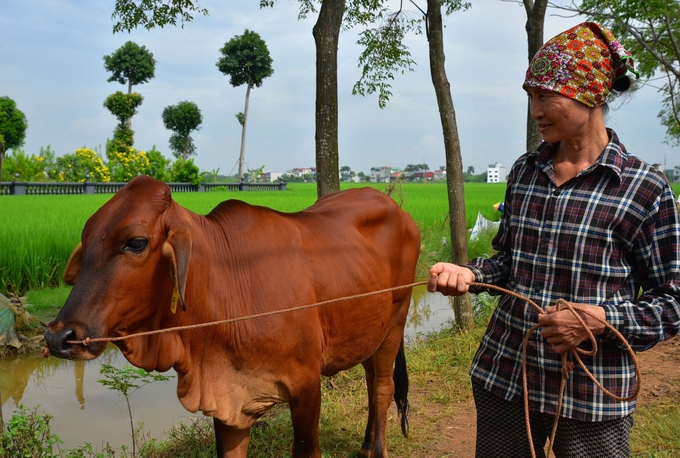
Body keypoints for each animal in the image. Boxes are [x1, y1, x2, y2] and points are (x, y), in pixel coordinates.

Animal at [43, 176, 420, 458]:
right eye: (87, 239)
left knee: (382, 386)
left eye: (136, 242)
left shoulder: (307, 386)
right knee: (372, 380)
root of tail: (398, 210)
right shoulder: (228, 401)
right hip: (370, 332)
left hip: (396, 319)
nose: (58, 336)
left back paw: (375, 450)